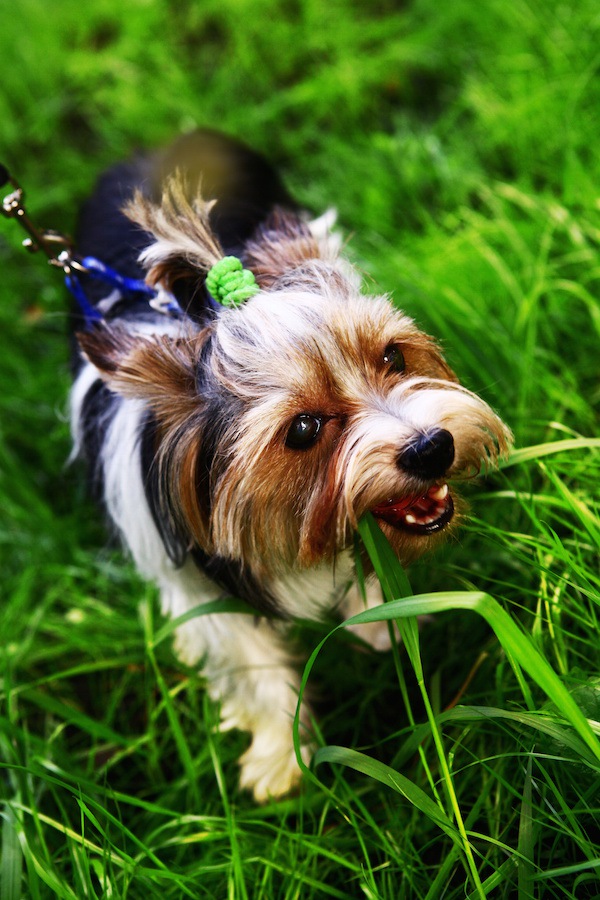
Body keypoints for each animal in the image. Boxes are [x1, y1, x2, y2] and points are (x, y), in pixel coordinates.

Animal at [70, 128, 510, 800]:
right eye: (302, 429)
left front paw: (378, 625)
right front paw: (280, 761)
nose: (431, 447)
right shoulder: (196, 586)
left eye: (392, 356)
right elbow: (249, 665)